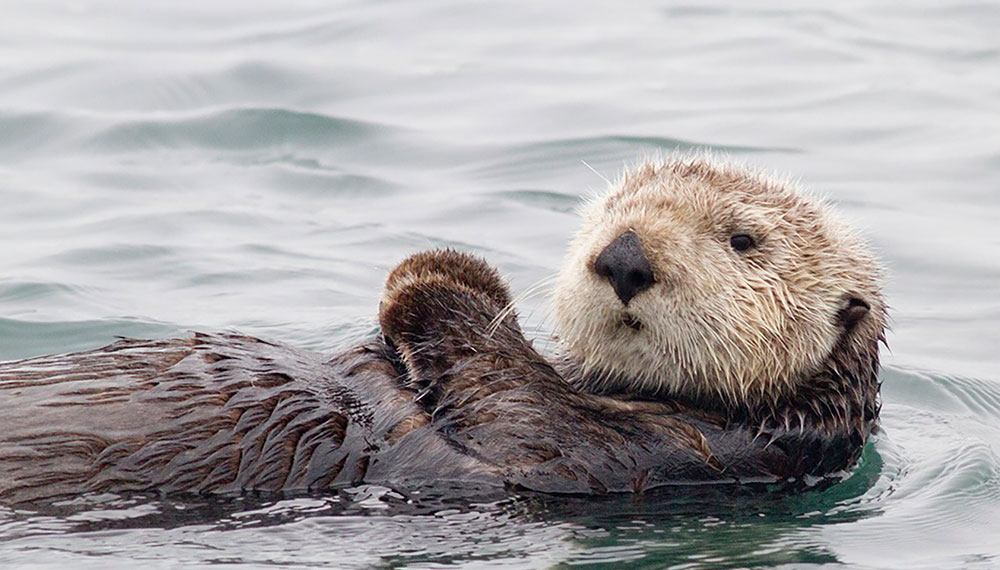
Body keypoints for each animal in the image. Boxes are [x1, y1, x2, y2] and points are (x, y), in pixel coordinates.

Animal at [0, 156, 885, 503]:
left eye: (744, 239)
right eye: (609, 209)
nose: (624, 255)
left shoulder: (655, 454)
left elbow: (513, 406)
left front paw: (431, 275)